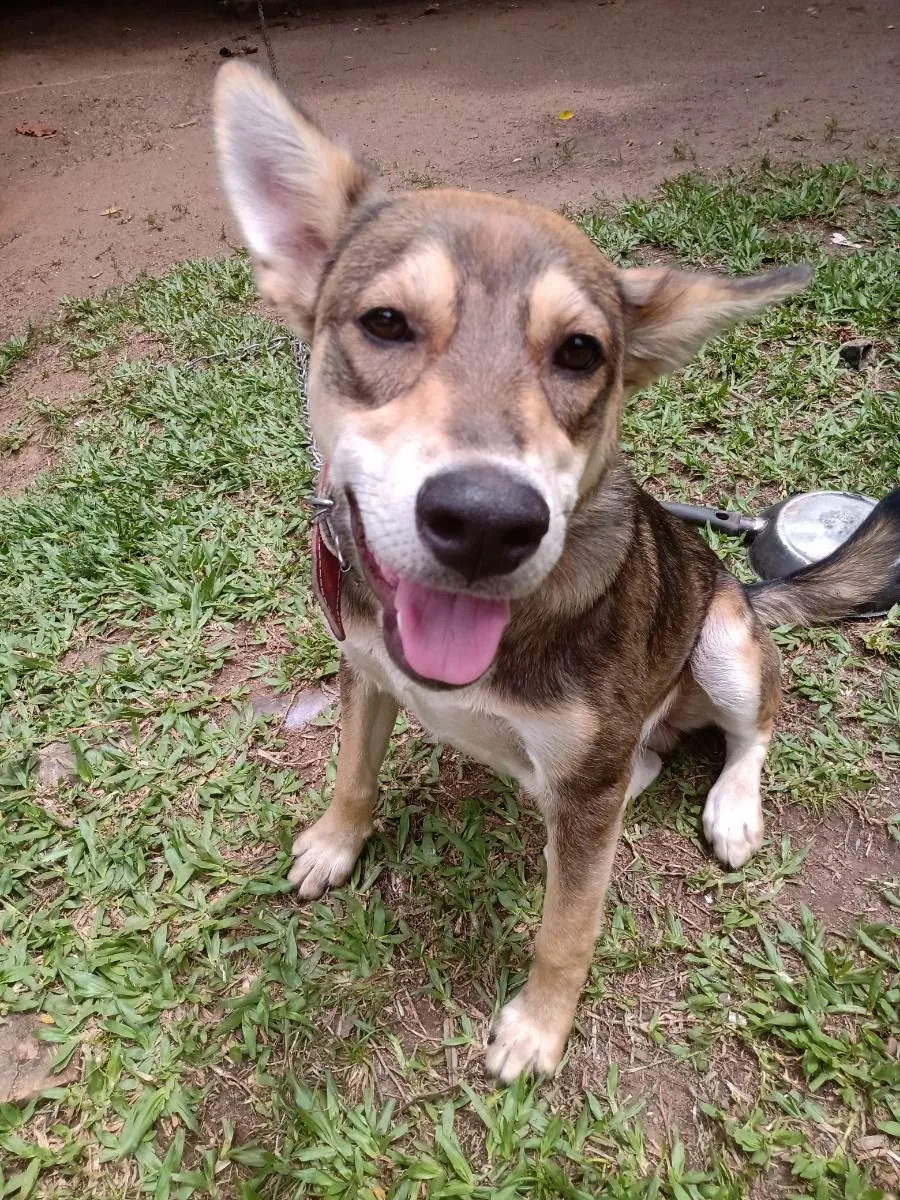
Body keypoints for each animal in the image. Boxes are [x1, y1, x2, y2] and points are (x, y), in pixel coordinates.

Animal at [213, 62, 900, 1082]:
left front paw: (538, 1030)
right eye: (385, 323)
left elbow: (566, 929)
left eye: (582, 352)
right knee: (640, 764)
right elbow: (353, 773)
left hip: (723, 642)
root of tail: (743, 581)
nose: (486, 522)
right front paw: (336, 844)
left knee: (755, 729)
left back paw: (733, 806)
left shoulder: (586, 797)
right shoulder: (366, 672)